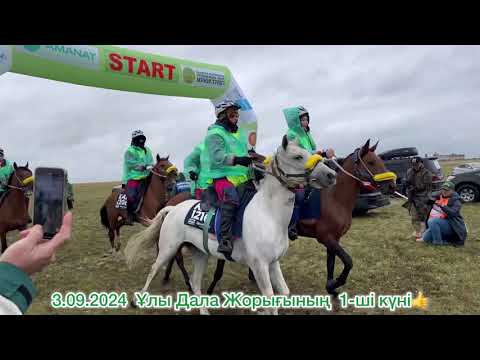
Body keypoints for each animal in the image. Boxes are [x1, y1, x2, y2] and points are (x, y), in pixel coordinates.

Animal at [127, 136, 338, 314]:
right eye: (297, 156)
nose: (331, 175)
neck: (269, 215)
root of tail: (172, 208)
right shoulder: (259, 265)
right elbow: (270, 299)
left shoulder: (273, 263)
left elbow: (284, 293)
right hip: (168, 249)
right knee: (154, 269)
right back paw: (138, 300)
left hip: (200, 254)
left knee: (195, 283)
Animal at [163, 139, 396, 296]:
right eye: (371, 162)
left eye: (378, 160)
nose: (392, 185)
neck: (335, 198)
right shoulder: (326, 237)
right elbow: (348, 261)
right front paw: (334, 284)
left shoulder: (333, 238)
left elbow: (333, 263)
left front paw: (332, 286)